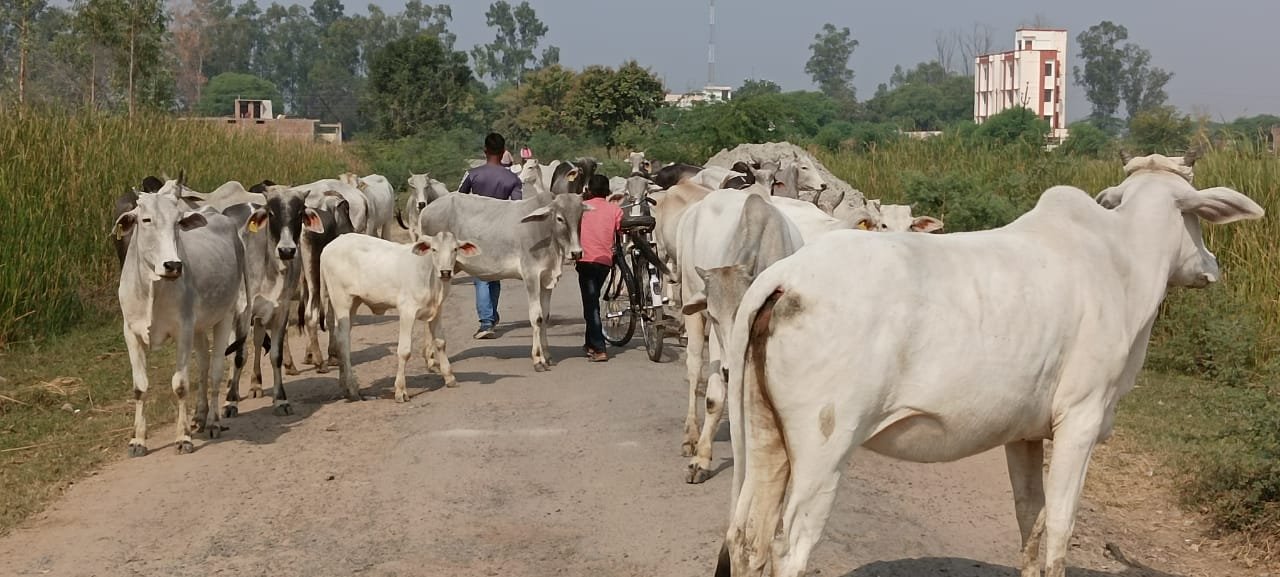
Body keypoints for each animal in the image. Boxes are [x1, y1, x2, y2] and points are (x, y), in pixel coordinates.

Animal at [113, 178, 248, 456]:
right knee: (205, 365)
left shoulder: (183, 330)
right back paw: (200, 415)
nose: (173, 265)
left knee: (215, 370)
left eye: (177, 222)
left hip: (225, 316)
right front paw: (137, 440)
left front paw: (183, 437)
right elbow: (139, 387)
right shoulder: (130, 333)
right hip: (200, 327)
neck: (152, 287)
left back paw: (213, 422)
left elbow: (181, 385)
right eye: (146, 219)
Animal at [321, 231, 479, 402]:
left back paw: (344, 385)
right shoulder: (407, 311)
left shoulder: (437, 310)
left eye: (455, 249)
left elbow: (440, 343)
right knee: (343, 341)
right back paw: (352, 388)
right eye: (434, 249)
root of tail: (332, 244)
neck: (429, 275)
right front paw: (401, 390)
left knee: (339, 337)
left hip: (354, 302)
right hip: (341, 301)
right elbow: (404, 351)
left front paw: (449, 377)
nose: (445, 272)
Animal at [419, 192, 590, 372]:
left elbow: (545, 316)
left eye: (580, 216)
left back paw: (431, 360)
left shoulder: (546, 279)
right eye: (559, 218)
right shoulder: (531, 276)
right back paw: (431, 359)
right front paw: (538, 360)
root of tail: (426, 210)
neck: (545, 230)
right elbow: (537, 317)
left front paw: (548, 356)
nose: (577, 253)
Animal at [713, 154, 1264, 577]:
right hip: (825, 445)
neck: (1122, 262)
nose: (1212, 267)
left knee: (746, 539)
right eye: (1197, 216)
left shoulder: (1024, 432)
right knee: (788, 547)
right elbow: (1059, 528)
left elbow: (1030, 521)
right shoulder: (1081, 419)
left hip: (766, 435)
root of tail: (787, 276)